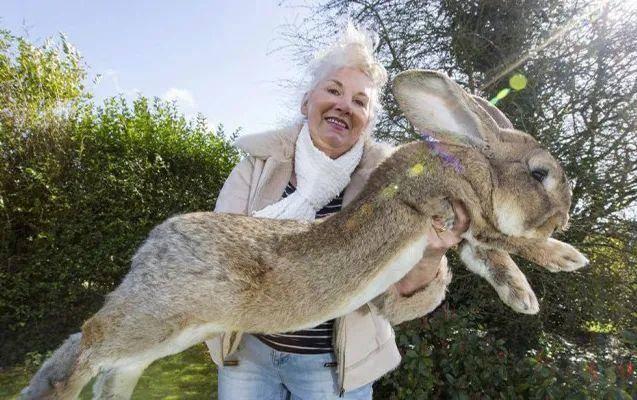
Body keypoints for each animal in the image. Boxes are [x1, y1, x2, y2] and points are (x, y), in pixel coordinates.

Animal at [19, 70, 588, 398]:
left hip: (163, 336)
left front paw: (524, 298)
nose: (565, 215)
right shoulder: (463, 209)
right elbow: (508, 242)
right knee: (89, 340)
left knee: (106, 363)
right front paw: (566, 257)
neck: (475, 164)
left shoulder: (465, 233)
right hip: (158, 318)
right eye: (540, 173)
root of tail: (149, 250)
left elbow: (491, 259)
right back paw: (56, 391)